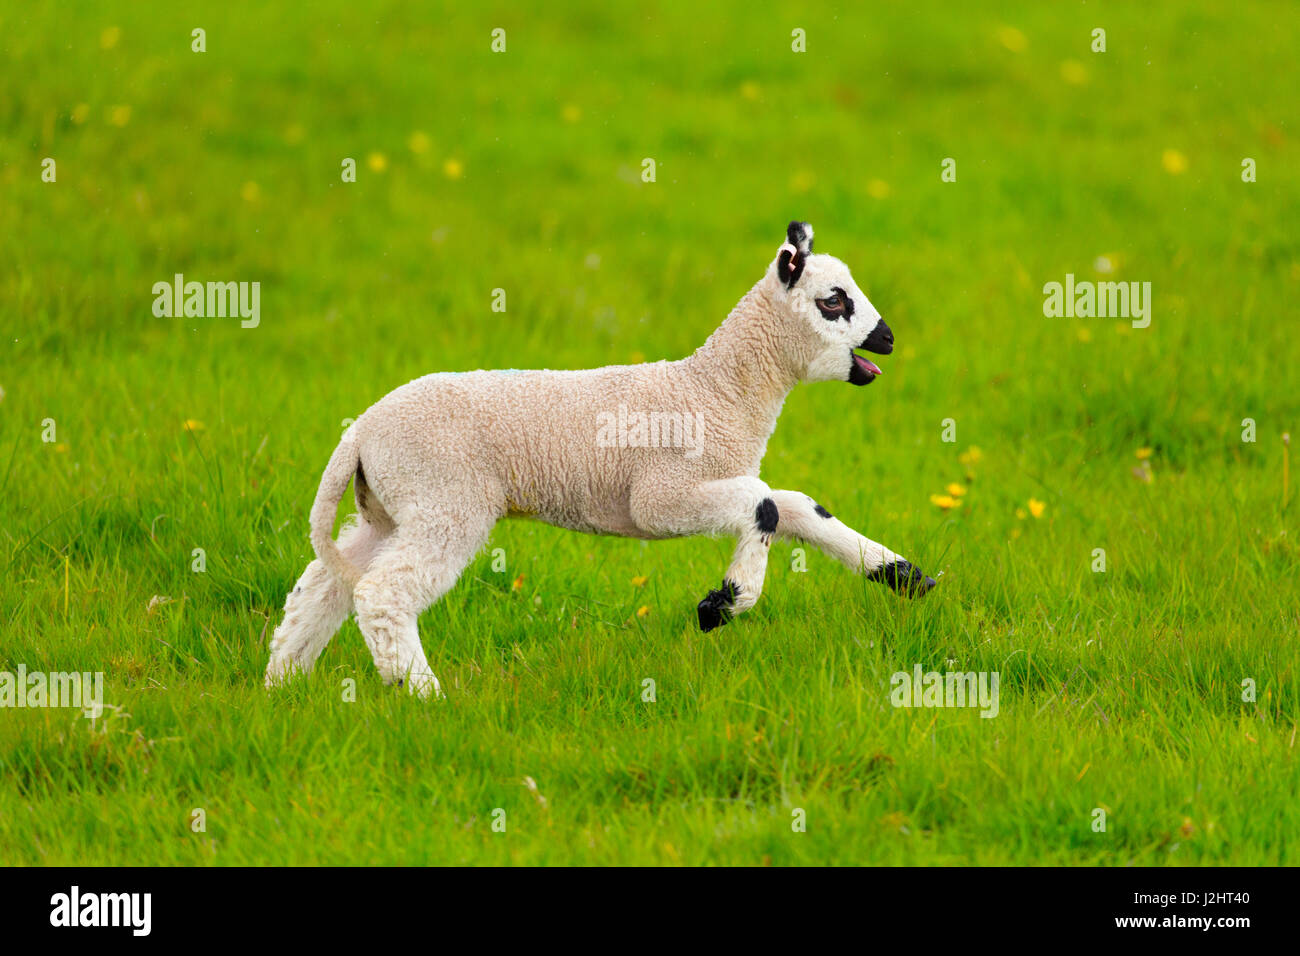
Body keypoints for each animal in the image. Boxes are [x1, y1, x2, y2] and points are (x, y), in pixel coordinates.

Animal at [263, 221, 935, 697]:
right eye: (833, 301)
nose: (888, 339)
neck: (717, 391)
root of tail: (359, 433)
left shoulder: (723, 475)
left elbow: (795, 507)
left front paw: (903, 575)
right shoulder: (660, 497)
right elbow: (765, 507)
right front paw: (720, 606)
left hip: (389, 508)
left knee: (325, 586)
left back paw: (282, 685)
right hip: (444, 499)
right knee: (381, 593)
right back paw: (424, 695)